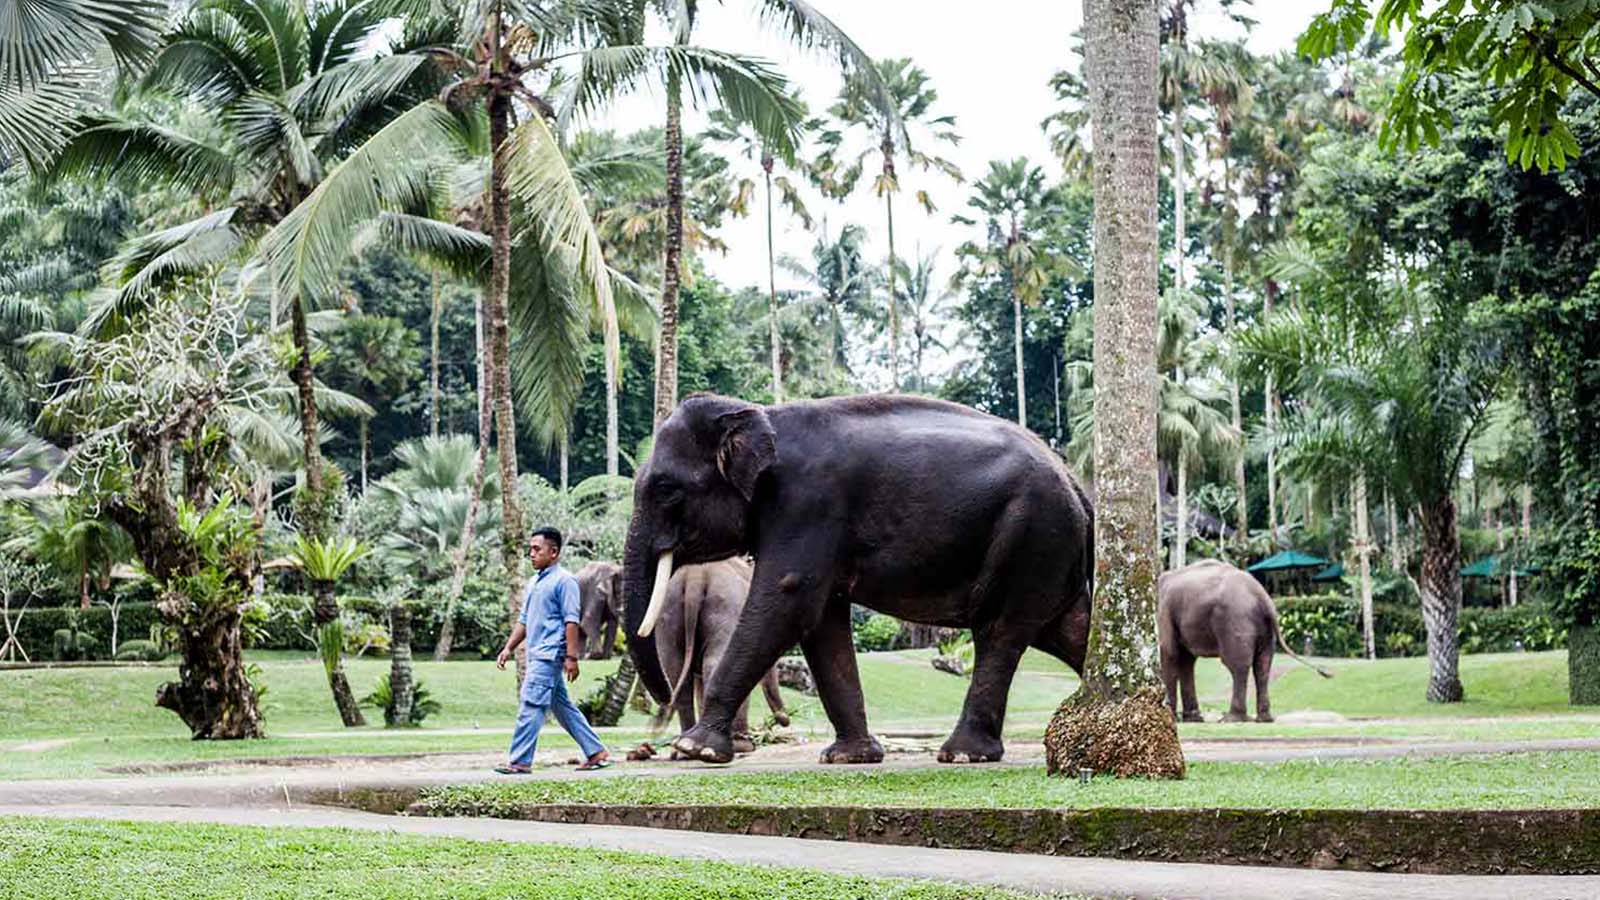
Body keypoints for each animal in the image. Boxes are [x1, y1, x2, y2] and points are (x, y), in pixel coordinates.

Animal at [654, 557, 790, 756]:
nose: (785, 720)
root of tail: (695, 578)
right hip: (724, 610)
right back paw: (737, 745)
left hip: (668, 616)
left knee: (675, 673)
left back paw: (684, 749)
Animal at [1157, 559, 1332, 723]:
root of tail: (1263, 596)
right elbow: (1186, 660)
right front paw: (1192, 719)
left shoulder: (1163, 611)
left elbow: (1168, 652)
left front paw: (1173, 717)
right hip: (1264, 629)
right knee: (1263, 666)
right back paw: (1264, 719)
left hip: (1234, 620)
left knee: (1237, 665)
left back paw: (1231, 719)